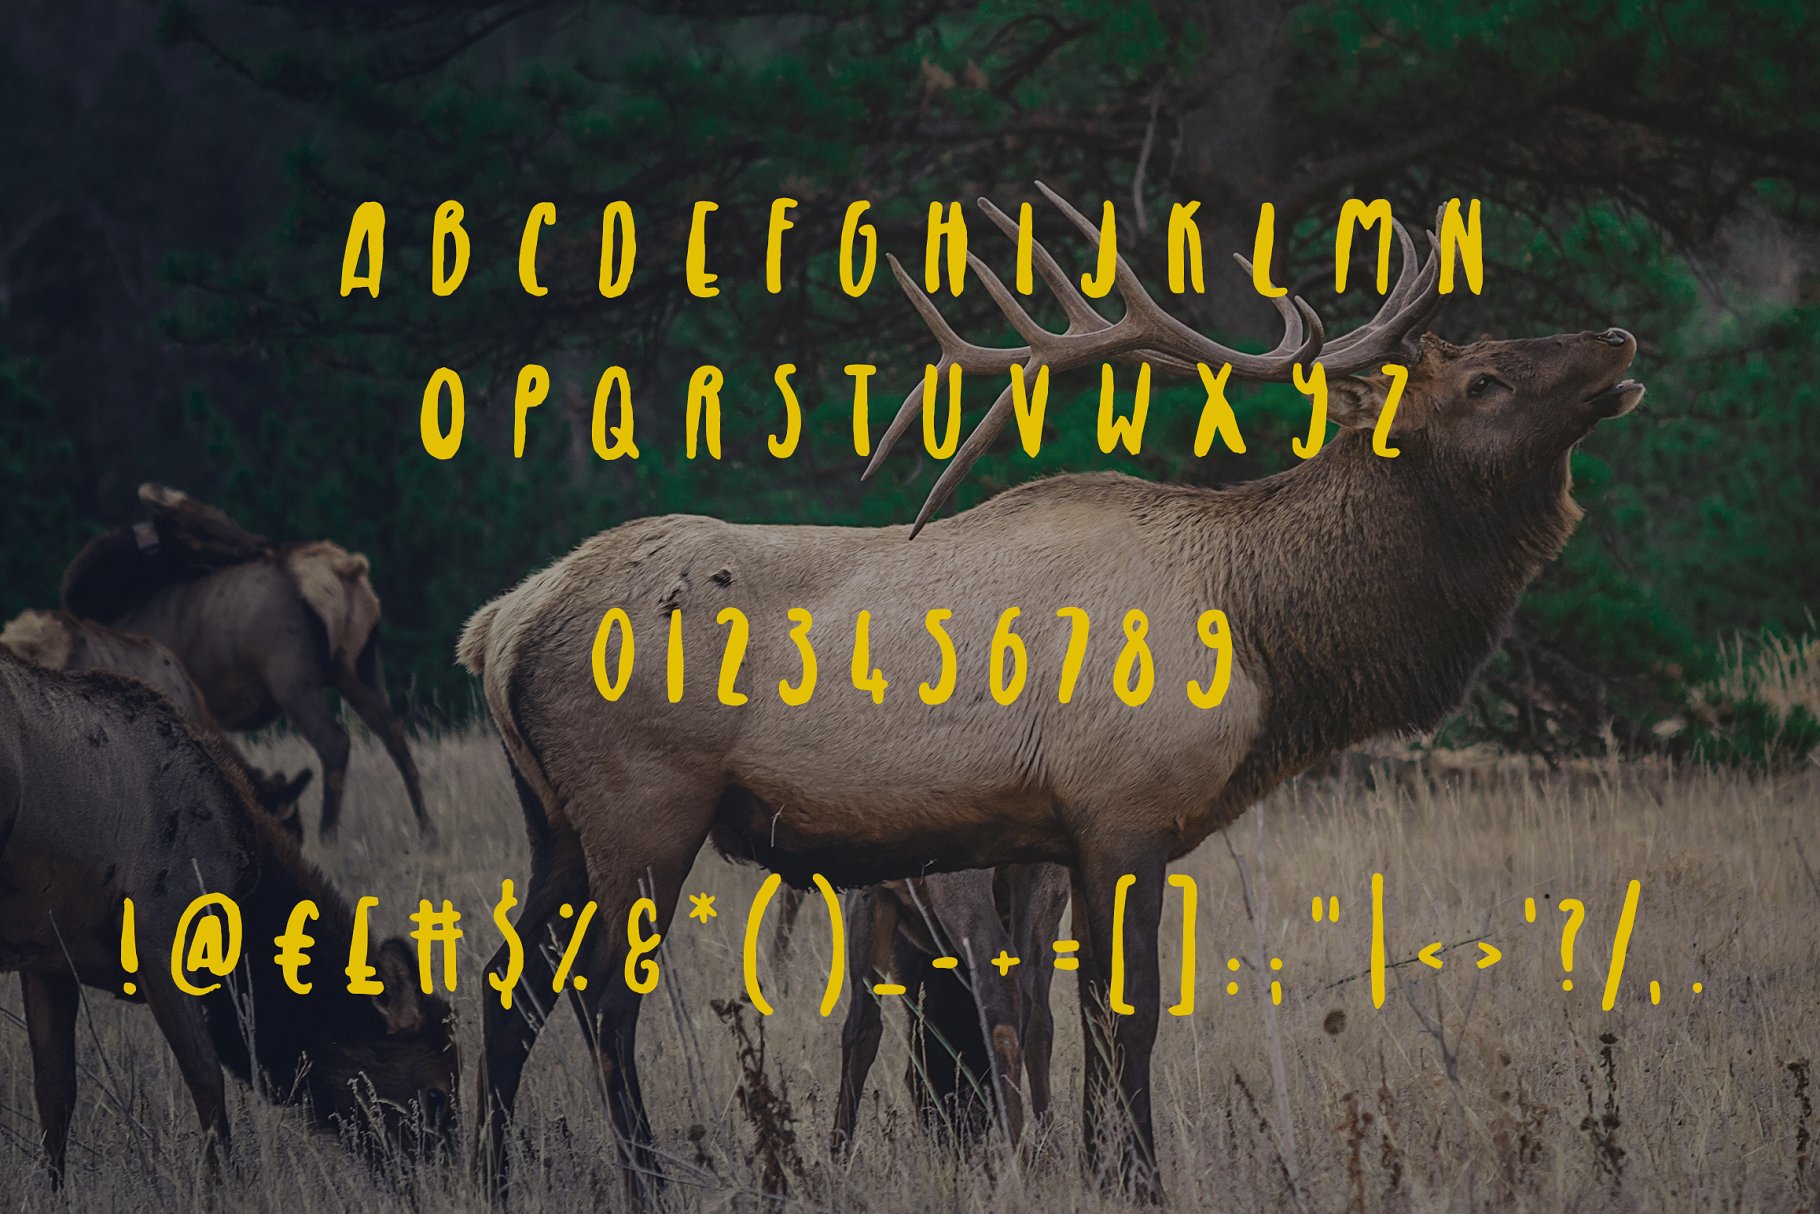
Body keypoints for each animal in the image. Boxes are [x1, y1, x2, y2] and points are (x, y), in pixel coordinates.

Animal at [0, 649, 457, 1185]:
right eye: (435, 1092)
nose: (445, 1181)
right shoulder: (161, 941)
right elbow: (207, 1082)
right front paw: (225, 1186)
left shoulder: (49, 955)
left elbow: (55, 1094)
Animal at [457, 184, 1643, 1201]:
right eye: (1483, 381)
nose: (1619, 340)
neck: (1263, 637)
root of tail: (498, 625)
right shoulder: (1123, 810)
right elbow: (1129, 1018)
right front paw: (1137, 1180)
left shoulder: (1057, 837)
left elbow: (1069, 1020)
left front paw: (1096, 1168)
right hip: (644, 803)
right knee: (601, 1001)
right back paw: (646, 1179)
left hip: (552, 820)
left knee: (506, 983)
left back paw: (493, 1175)